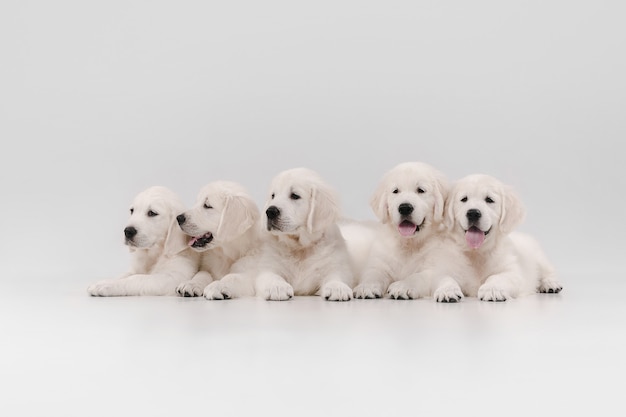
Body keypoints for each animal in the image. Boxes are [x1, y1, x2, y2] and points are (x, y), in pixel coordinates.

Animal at [252, 167, 352, 300]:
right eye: (273, 196)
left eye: (295, 196)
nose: (270, 211)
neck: (300, 247)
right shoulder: (268, 266)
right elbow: (271, 275)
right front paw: (278, 287)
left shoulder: (334, 264)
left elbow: (336, 275)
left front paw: (337, 287)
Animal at [352, 161, 464, 300]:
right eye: (395, 191)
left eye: (420, 190)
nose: (405, 208)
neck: (409, 244)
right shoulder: (380, 261)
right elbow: (373, 273)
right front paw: (366, 287)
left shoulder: (434, 267)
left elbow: (416, 277)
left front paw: (403, 286)